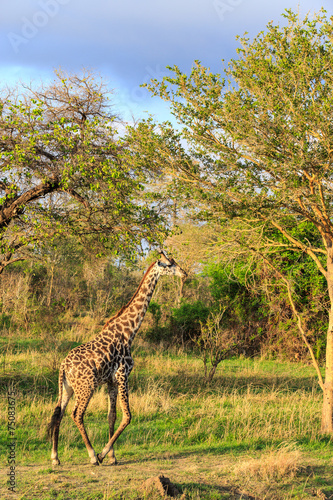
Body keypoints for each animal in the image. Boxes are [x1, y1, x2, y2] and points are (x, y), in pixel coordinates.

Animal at [47, 252, 187, 466]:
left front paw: (112, 456)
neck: (129, 332)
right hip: (86, 386)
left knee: (59, 413)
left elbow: (111, 416)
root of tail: (63, 366)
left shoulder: (111, 381)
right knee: (77, 414)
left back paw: (55, 457)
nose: (184, 273)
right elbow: (127, 416)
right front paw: (103, 454)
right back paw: (92, 455)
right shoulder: (123, 375)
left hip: (67, 387)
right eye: (170, 264)